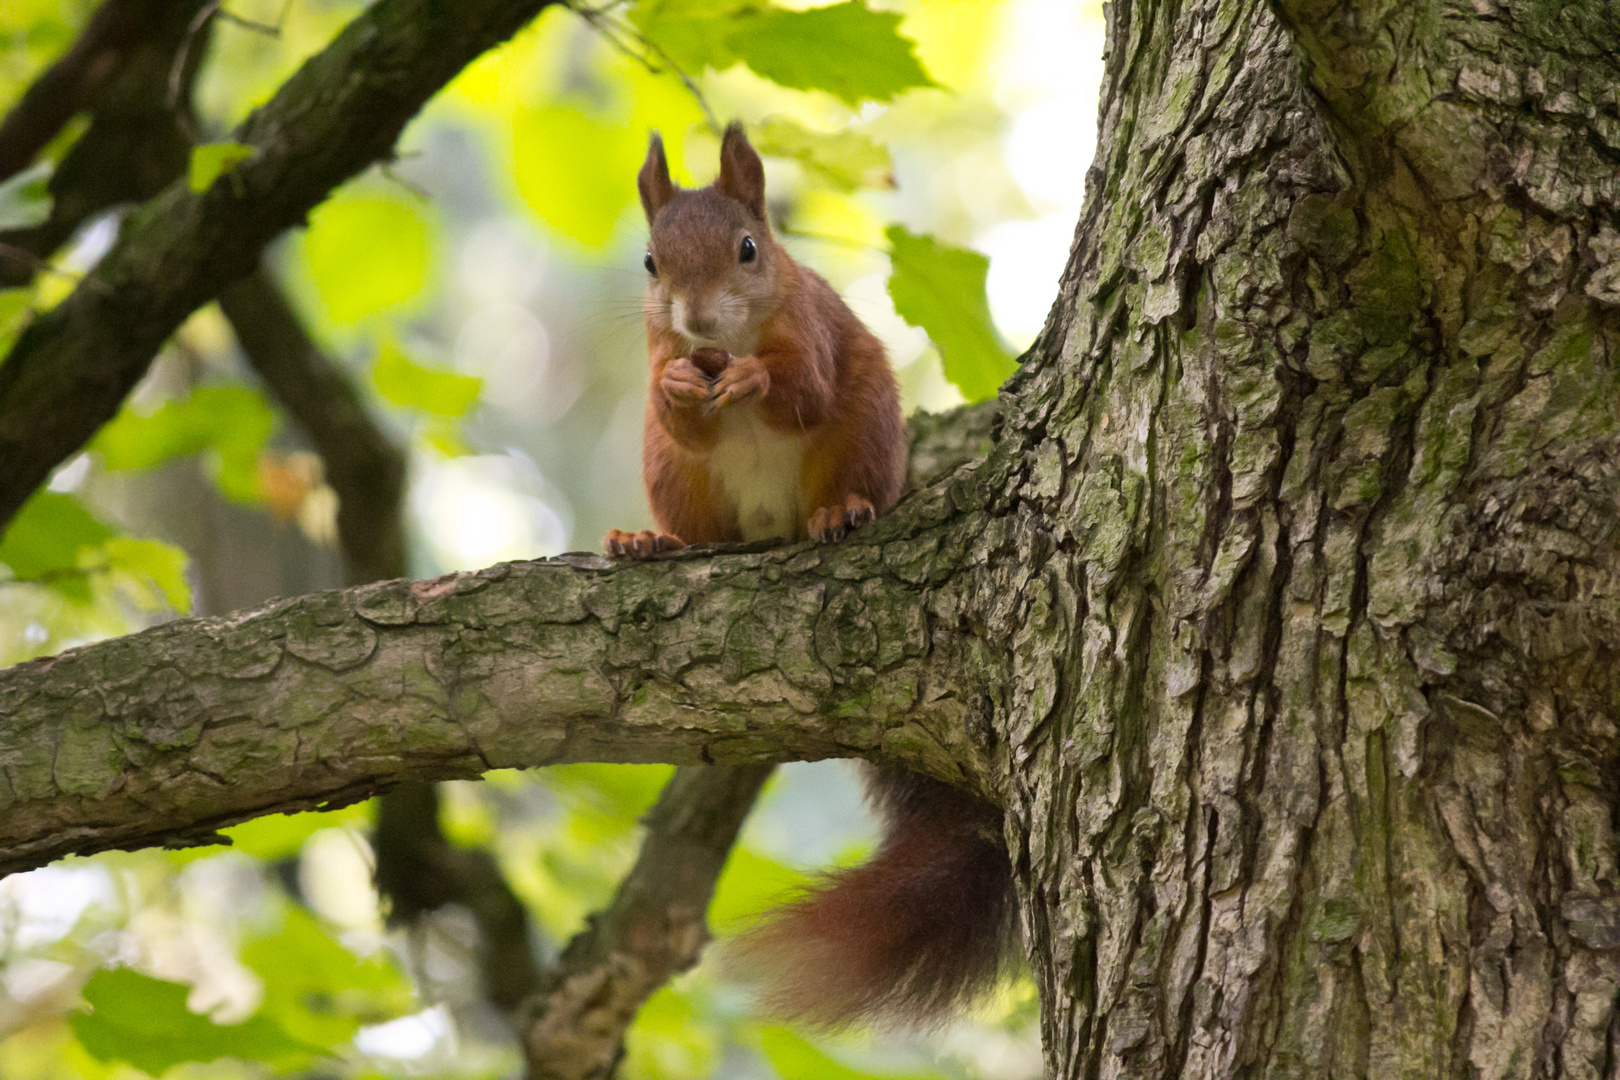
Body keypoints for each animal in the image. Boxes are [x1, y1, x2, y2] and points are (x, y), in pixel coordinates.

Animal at [605, 122, 1010, 1029]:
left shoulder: (814, 332)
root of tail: (767, 533)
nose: (695, 318)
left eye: (749, 250)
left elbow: (801, 390)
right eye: (650, 263)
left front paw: (757, 380)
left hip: (862, 429)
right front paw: (681, 383)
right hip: (674, 478)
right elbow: (681, 411)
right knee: (694, 514)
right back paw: (651, 543)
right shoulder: (658, 355)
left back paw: (841, 515)